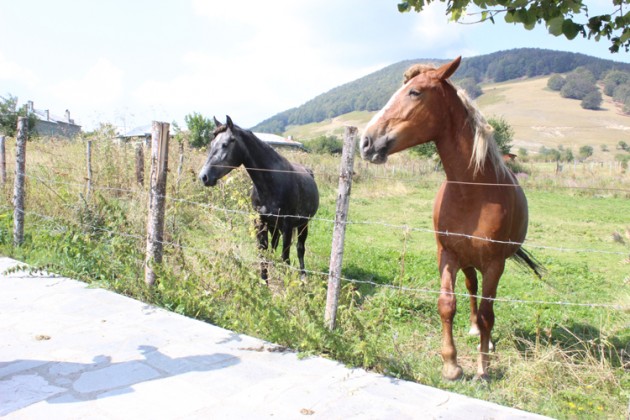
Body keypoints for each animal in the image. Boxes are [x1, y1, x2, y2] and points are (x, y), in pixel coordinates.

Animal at [200, 116, 320, 280]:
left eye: (225, 144)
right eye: (212, 144)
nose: (204, 177)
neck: (271, 183)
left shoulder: (287, 226)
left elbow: (286, 258)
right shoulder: (260, 223)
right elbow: (263, 255)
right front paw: (264, 281)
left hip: (303, 224)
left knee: (300, 248)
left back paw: (303, 276)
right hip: (274, 227)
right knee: (274, 246)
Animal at [360, 55, 544, 380]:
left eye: (415, 92)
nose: (366, 142)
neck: (472, 191)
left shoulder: (494, 264)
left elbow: (488, 313)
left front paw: (483, 366)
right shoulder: (447, 254)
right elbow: (447, 304)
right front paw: (451, 364)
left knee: (484, 304)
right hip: (467, 262)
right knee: (471, 290)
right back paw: (473, 330)